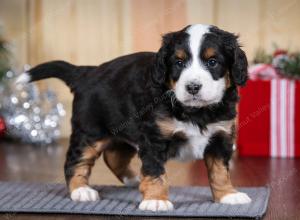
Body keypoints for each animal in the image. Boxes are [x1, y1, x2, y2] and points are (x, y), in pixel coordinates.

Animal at [16, 24, 251, 211]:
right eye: (178, 63)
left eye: (212, 62)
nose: (192, 87)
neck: (197, 111)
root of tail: (87, 72)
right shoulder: (154, 138)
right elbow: (155, 170)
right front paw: (156, 199)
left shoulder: (220, 136)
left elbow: (220, 171)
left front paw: (228, 195)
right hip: (90, 132)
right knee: (75, 161)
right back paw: (81, 190)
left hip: (122, 130)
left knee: (114, 157)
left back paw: (133, 179)